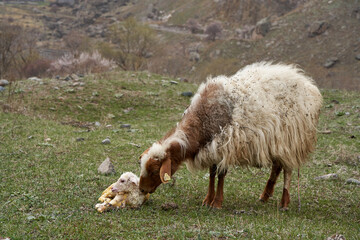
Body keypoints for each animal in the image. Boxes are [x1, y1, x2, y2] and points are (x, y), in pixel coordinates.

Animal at [139, 62, 324, 210]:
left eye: (155, 171)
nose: (141, 189)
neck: (203, 119)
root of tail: (308, 85)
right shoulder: (212, 148)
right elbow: (212, 173)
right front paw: (207, 200)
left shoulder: (226, 145)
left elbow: (220, 175)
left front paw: (217, 203)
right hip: (277, 141)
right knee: (277, 166)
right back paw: (265, 196)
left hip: (292, 139)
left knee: (287, 170)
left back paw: (284, 202)